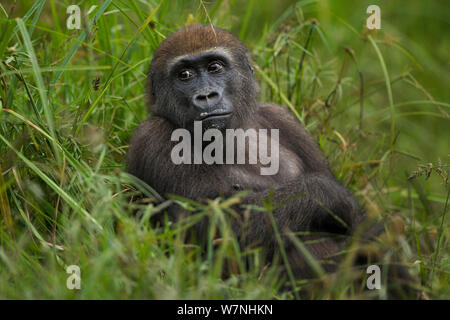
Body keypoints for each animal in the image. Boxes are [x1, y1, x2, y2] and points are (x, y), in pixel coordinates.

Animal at [127, 25, 366, 278]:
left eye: (214, 67)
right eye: (184, 75)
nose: (206, 95)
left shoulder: (283, 118)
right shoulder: (152, 136)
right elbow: (213, 229)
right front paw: (331, 195)